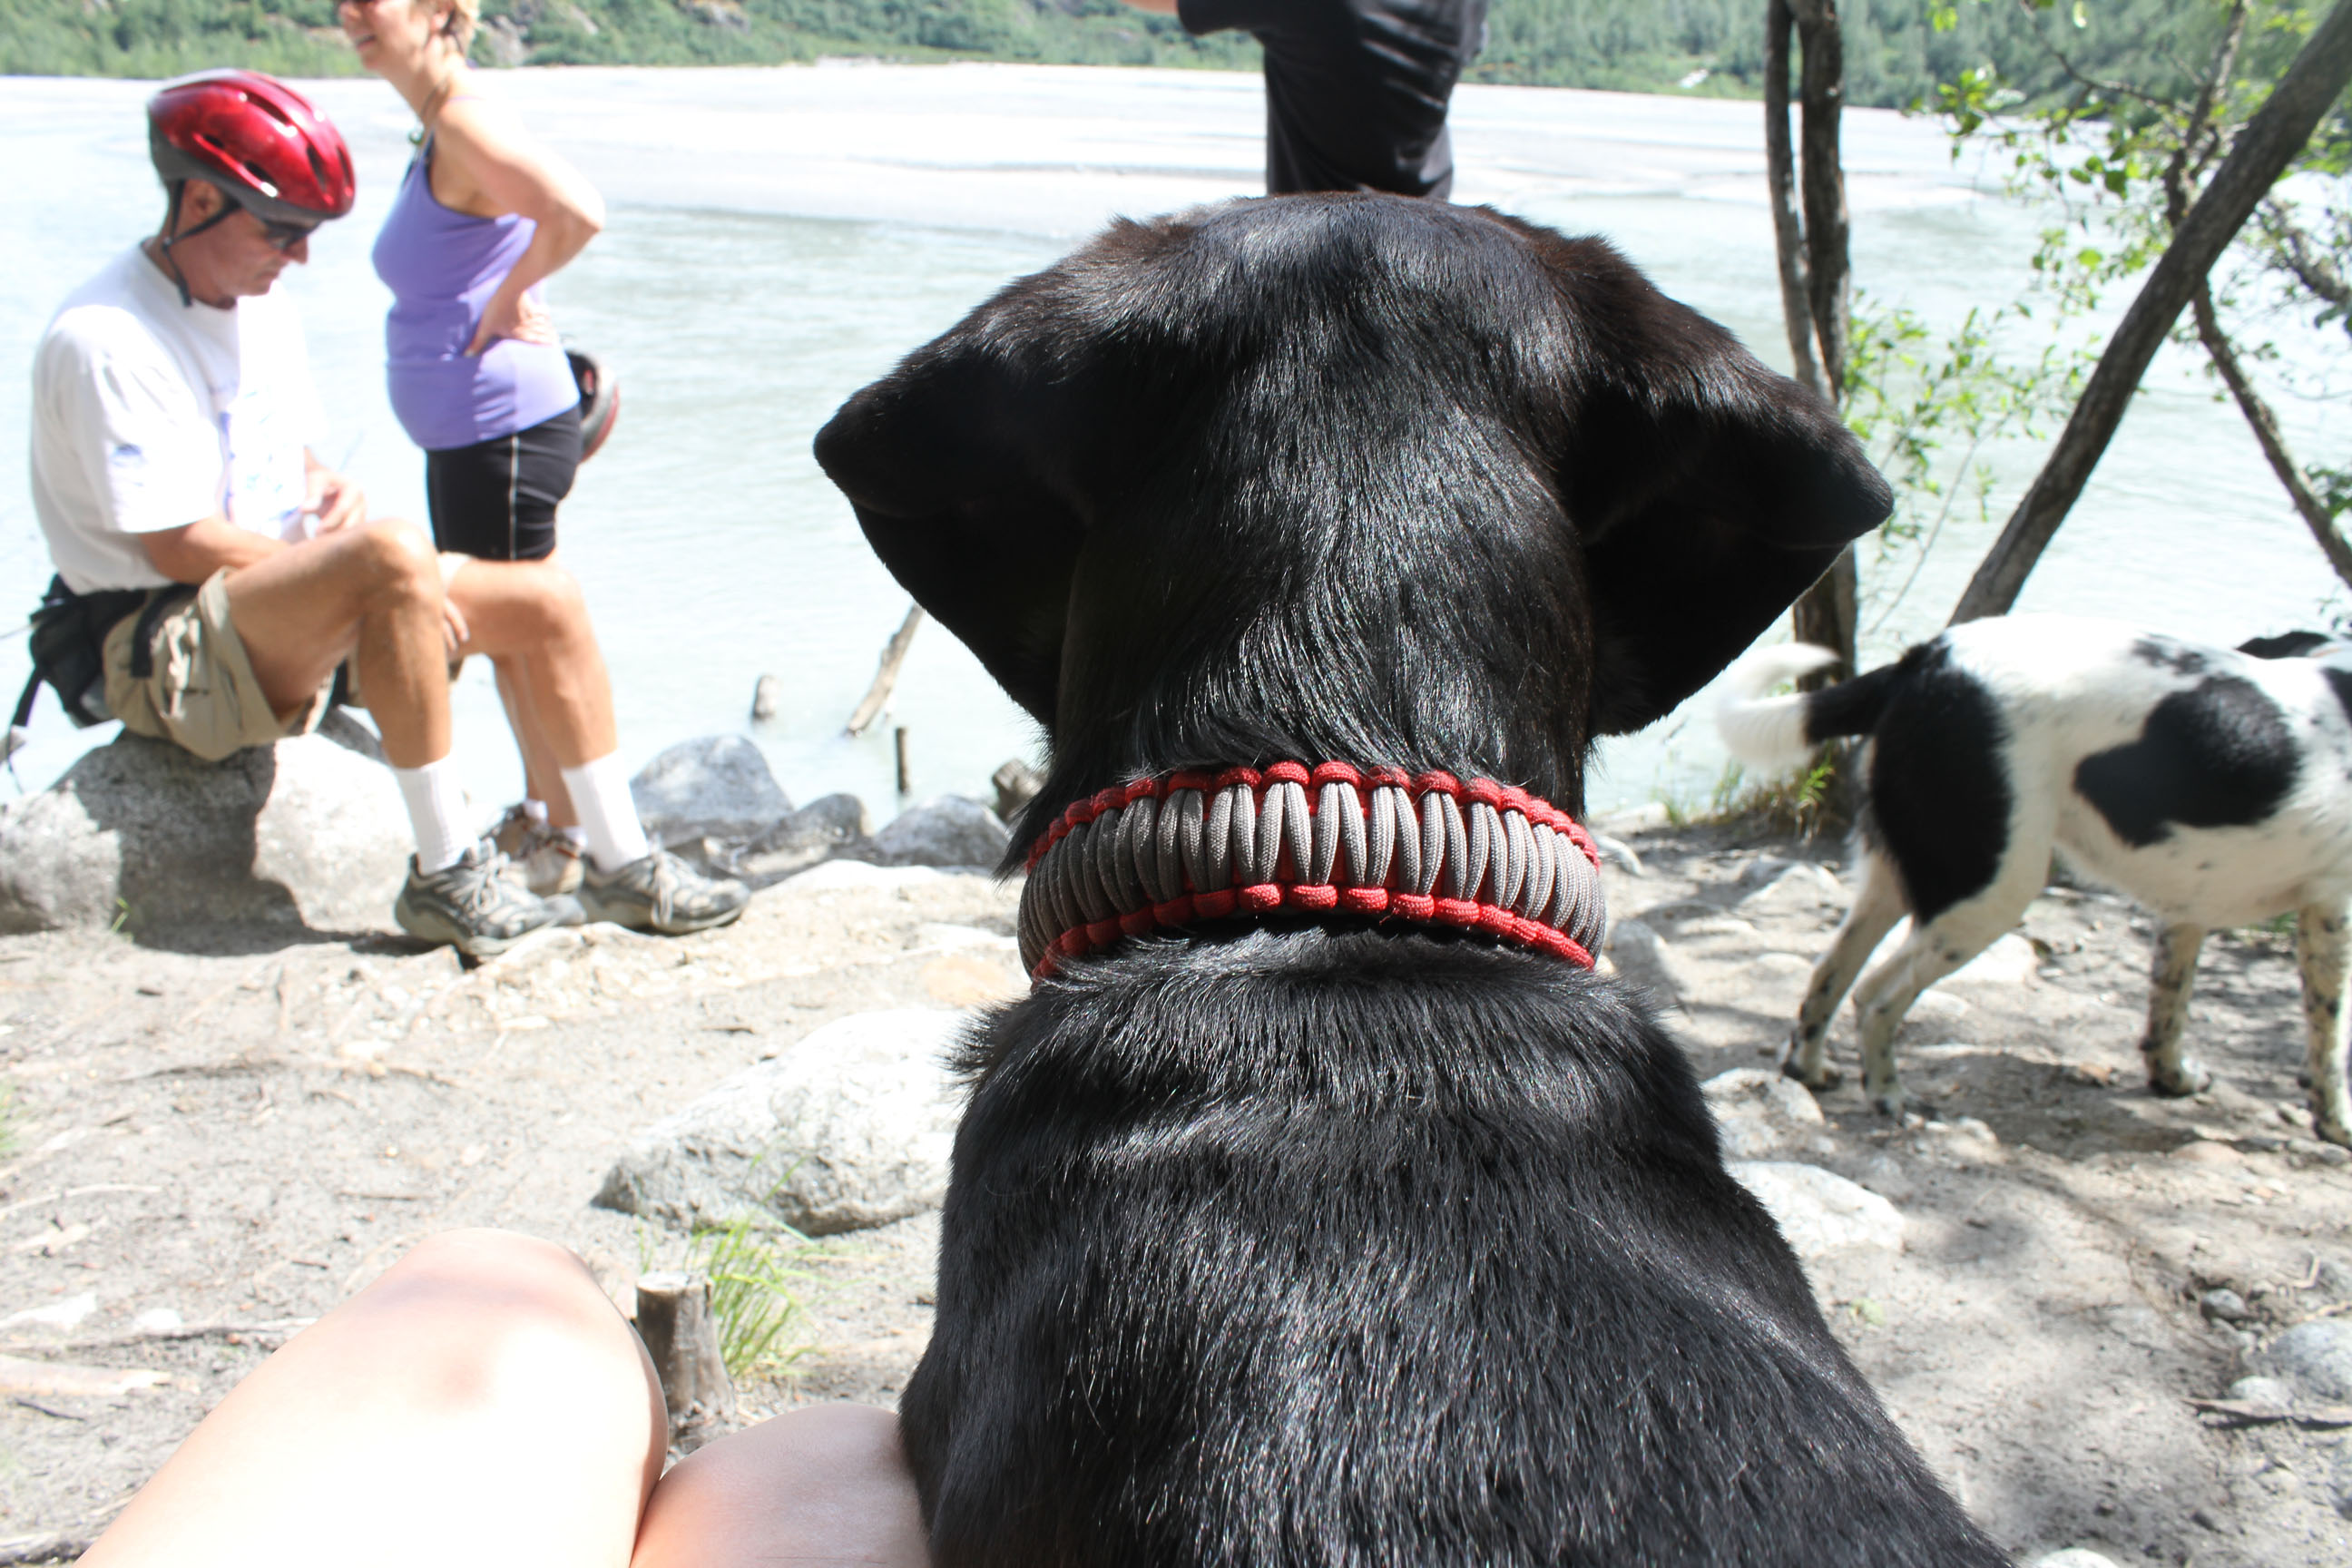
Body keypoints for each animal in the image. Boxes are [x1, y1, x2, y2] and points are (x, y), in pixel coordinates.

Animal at [1716, 613, 2352, 1144]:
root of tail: (1925, 662)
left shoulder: (2185, 908)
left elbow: (2168, 1008)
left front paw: (2171, 1079)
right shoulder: (2331, 914)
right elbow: (2329, 1037)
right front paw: (2336, 1125)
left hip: (1904, 876)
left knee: (1829, 974)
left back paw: (1810, 1069)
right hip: (1990, 889)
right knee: (1875, 996)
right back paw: (1889, 1096)